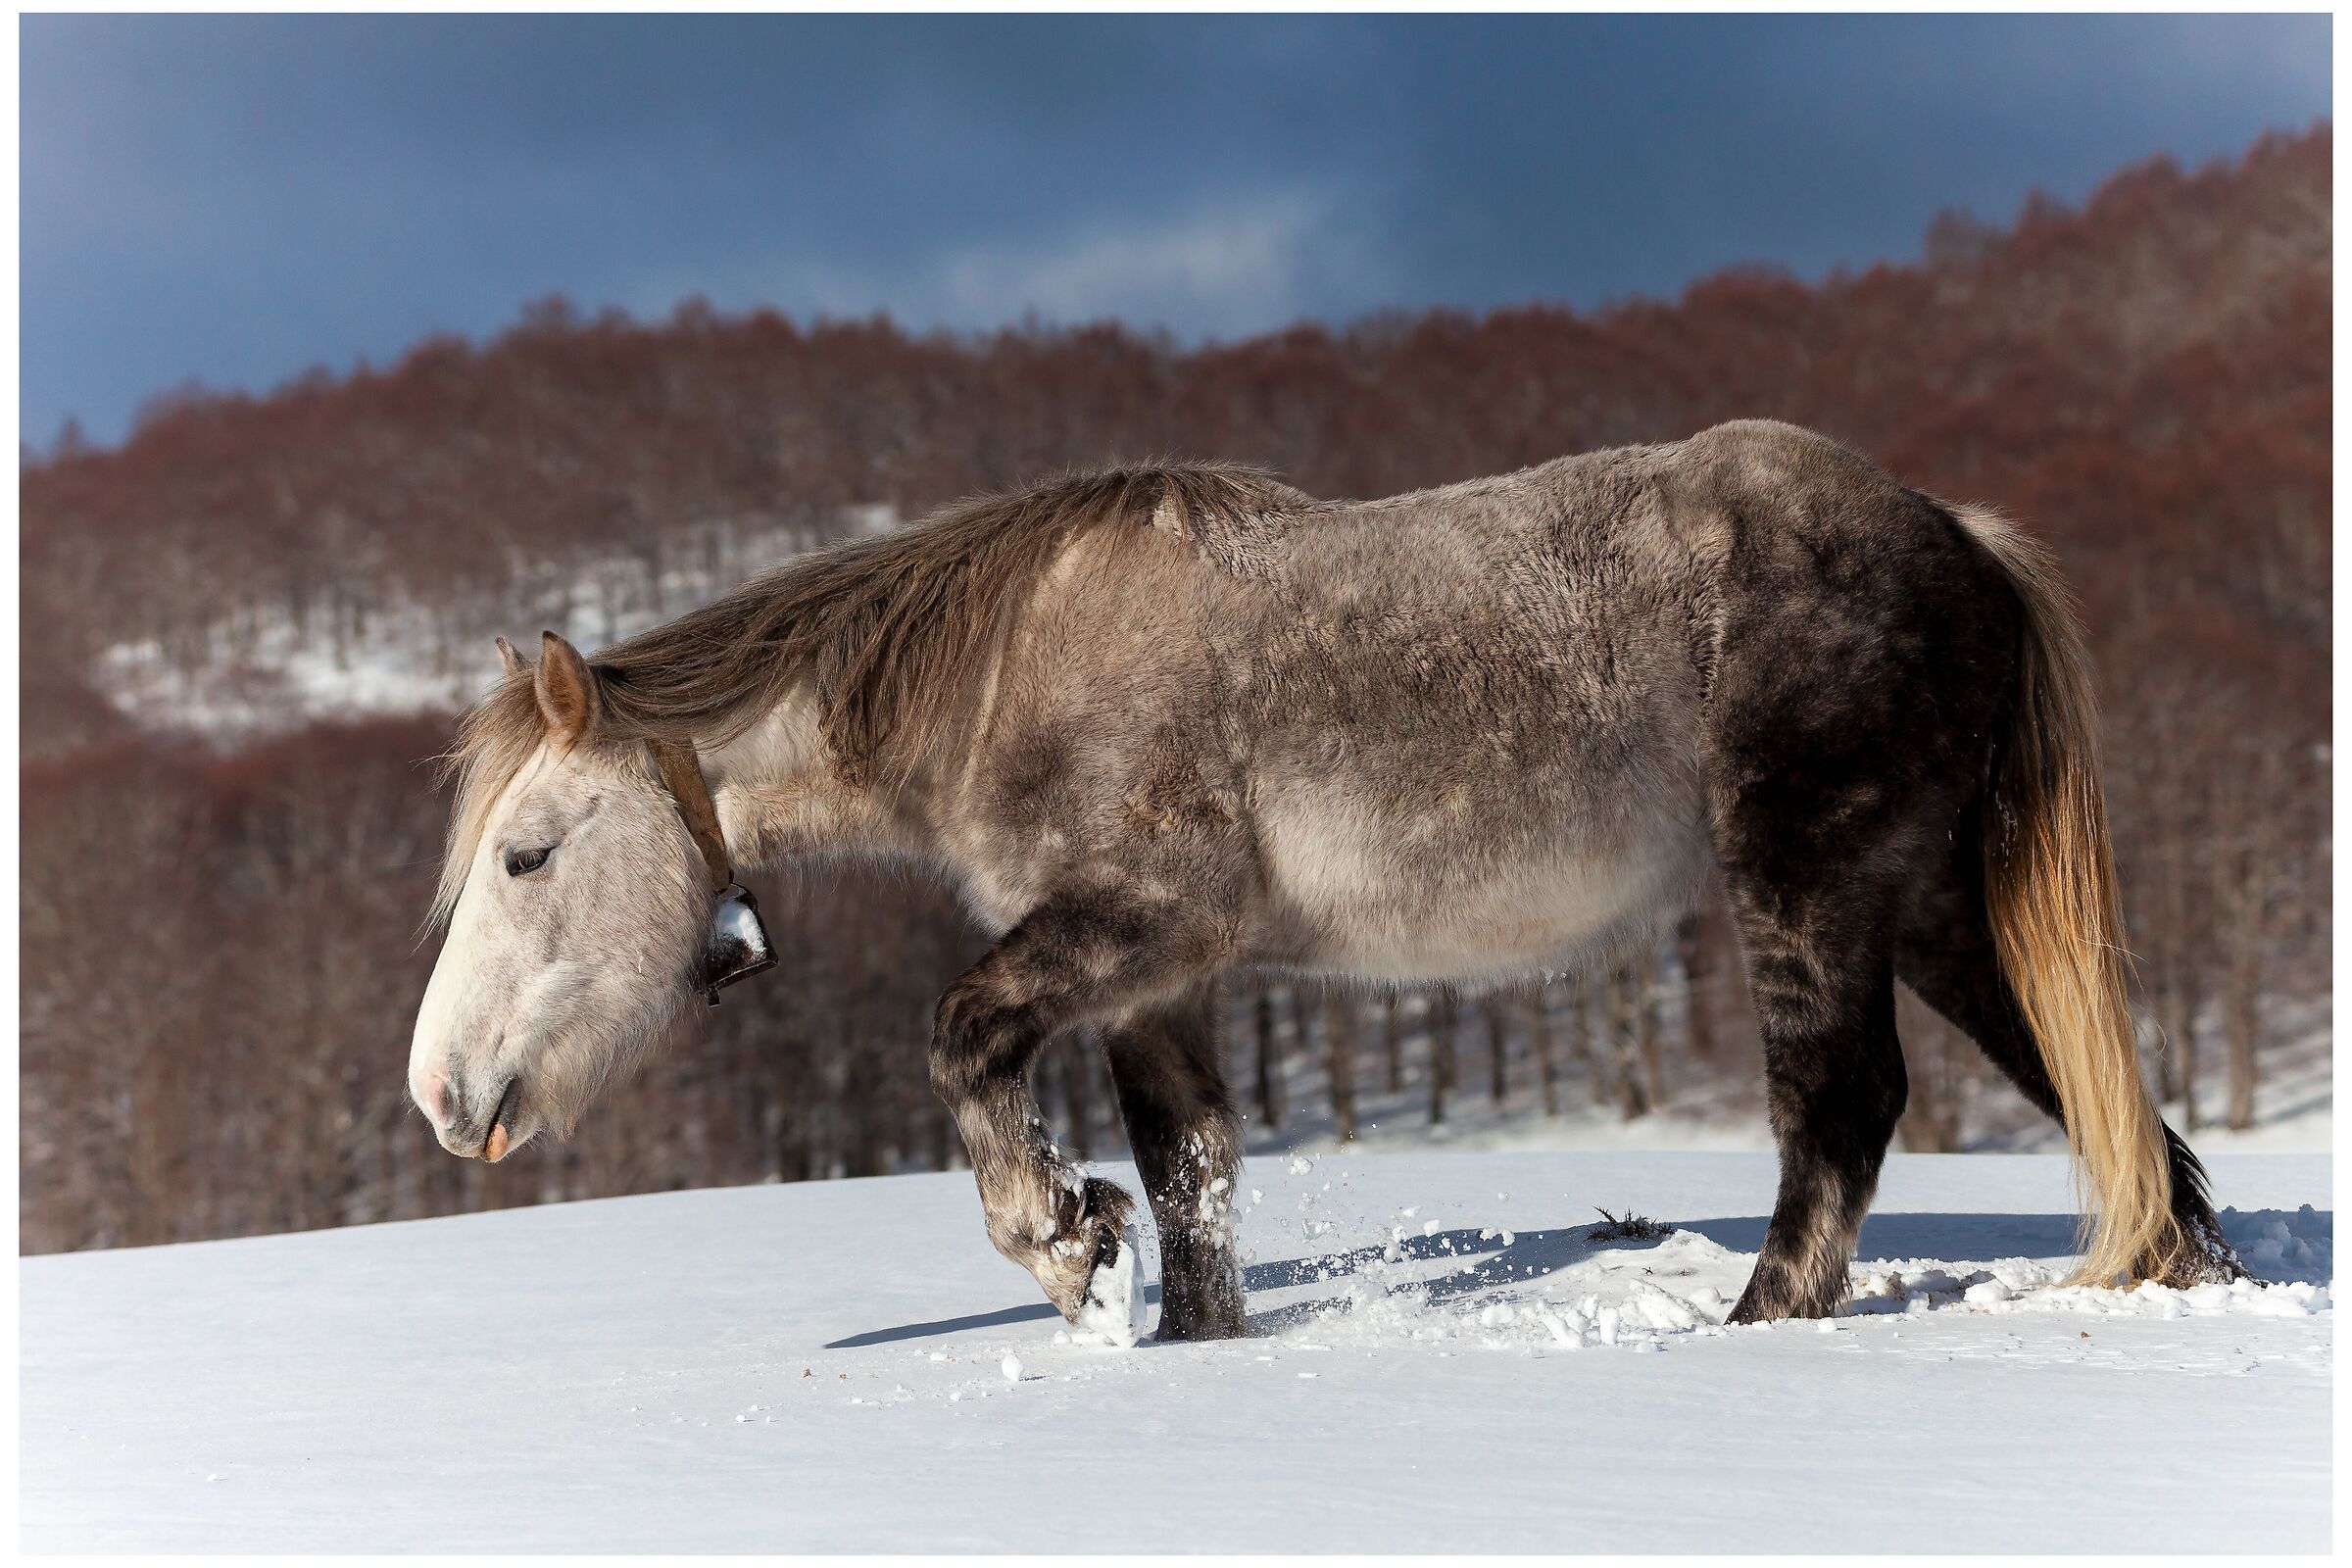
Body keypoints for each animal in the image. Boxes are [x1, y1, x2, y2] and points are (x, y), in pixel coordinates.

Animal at [408, 418, 2245, 1343]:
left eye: (527, 850)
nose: (444, 1095)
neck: (1009, 669)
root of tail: (1956, 535)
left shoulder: (1139, 927)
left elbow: (968, 1041)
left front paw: (1060, 1246)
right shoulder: (1158, 983)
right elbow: (1197, 1181)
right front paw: (1159, 1319)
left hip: (1810, 882)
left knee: (1845, 1105)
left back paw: (1751, 1323)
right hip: (1924, 899)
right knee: (2094, 1095)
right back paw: (2176, 1273)